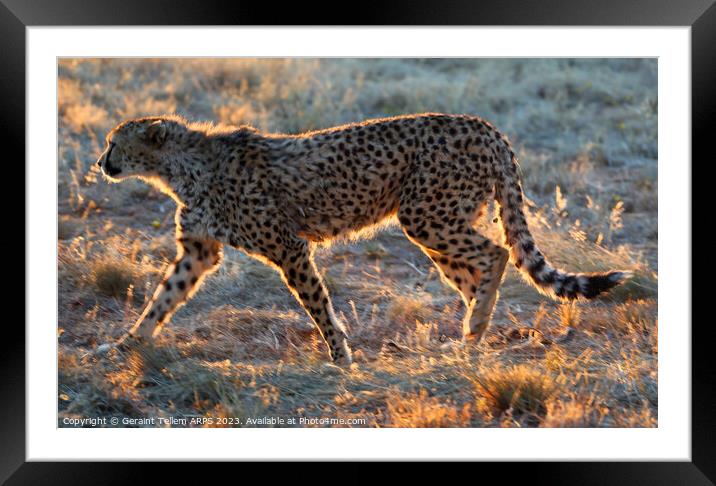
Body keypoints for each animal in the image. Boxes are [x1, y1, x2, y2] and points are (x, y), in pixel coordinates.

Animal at [96, 115, 628, 364]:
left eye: (113, 143)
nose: (101, 163)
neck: (180, 167)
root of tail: (485, 126)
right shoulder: (198, 252)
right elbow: (161, 300)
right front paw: (125, 345)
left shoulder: (290, 247)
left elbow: (317, 303)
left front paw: (340, 357)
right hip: (435, 226)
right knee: (475, 272)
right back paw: (470, 335)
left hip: (426, 217)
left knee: (496, 253)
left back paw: (474, 328)